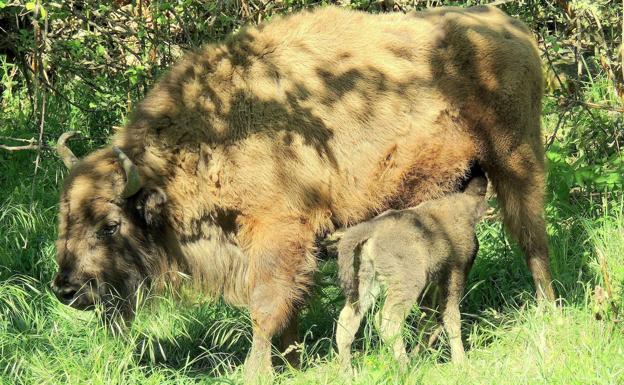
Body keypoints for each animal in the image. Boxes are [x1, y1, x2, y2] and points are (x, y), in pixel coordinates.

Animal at [336, 174, 488, 366]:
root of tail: (372, 227)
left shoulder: (431, 284)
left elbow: (431, 317)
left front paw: (421, 353)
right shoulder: (454, 273)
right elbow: (450, 316)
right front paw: (460, 361)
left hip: (366, 280)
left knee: (347, 321)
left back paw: (348, 371)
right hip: (407, 282)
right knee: (387, 319)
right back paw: (404, 366)